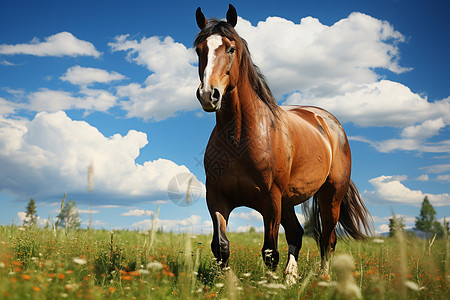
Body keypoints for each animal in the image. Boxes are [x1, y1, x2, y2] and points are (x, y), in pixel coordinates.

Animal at [193, 3, 372, 282]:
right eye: (199, 50)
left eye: (231, 48)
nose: (208, 94)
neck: (239, 139)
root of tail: (329, 122)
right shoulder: (217, 198)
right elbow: (221, 246)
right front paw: (228, 283)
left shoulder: (270, 201)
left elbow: (269, 251)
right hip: (289, 200)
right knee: (297, 234)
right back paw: (290, 278)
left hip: (330, 196)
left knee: (327, 239)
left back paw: (322, 278)